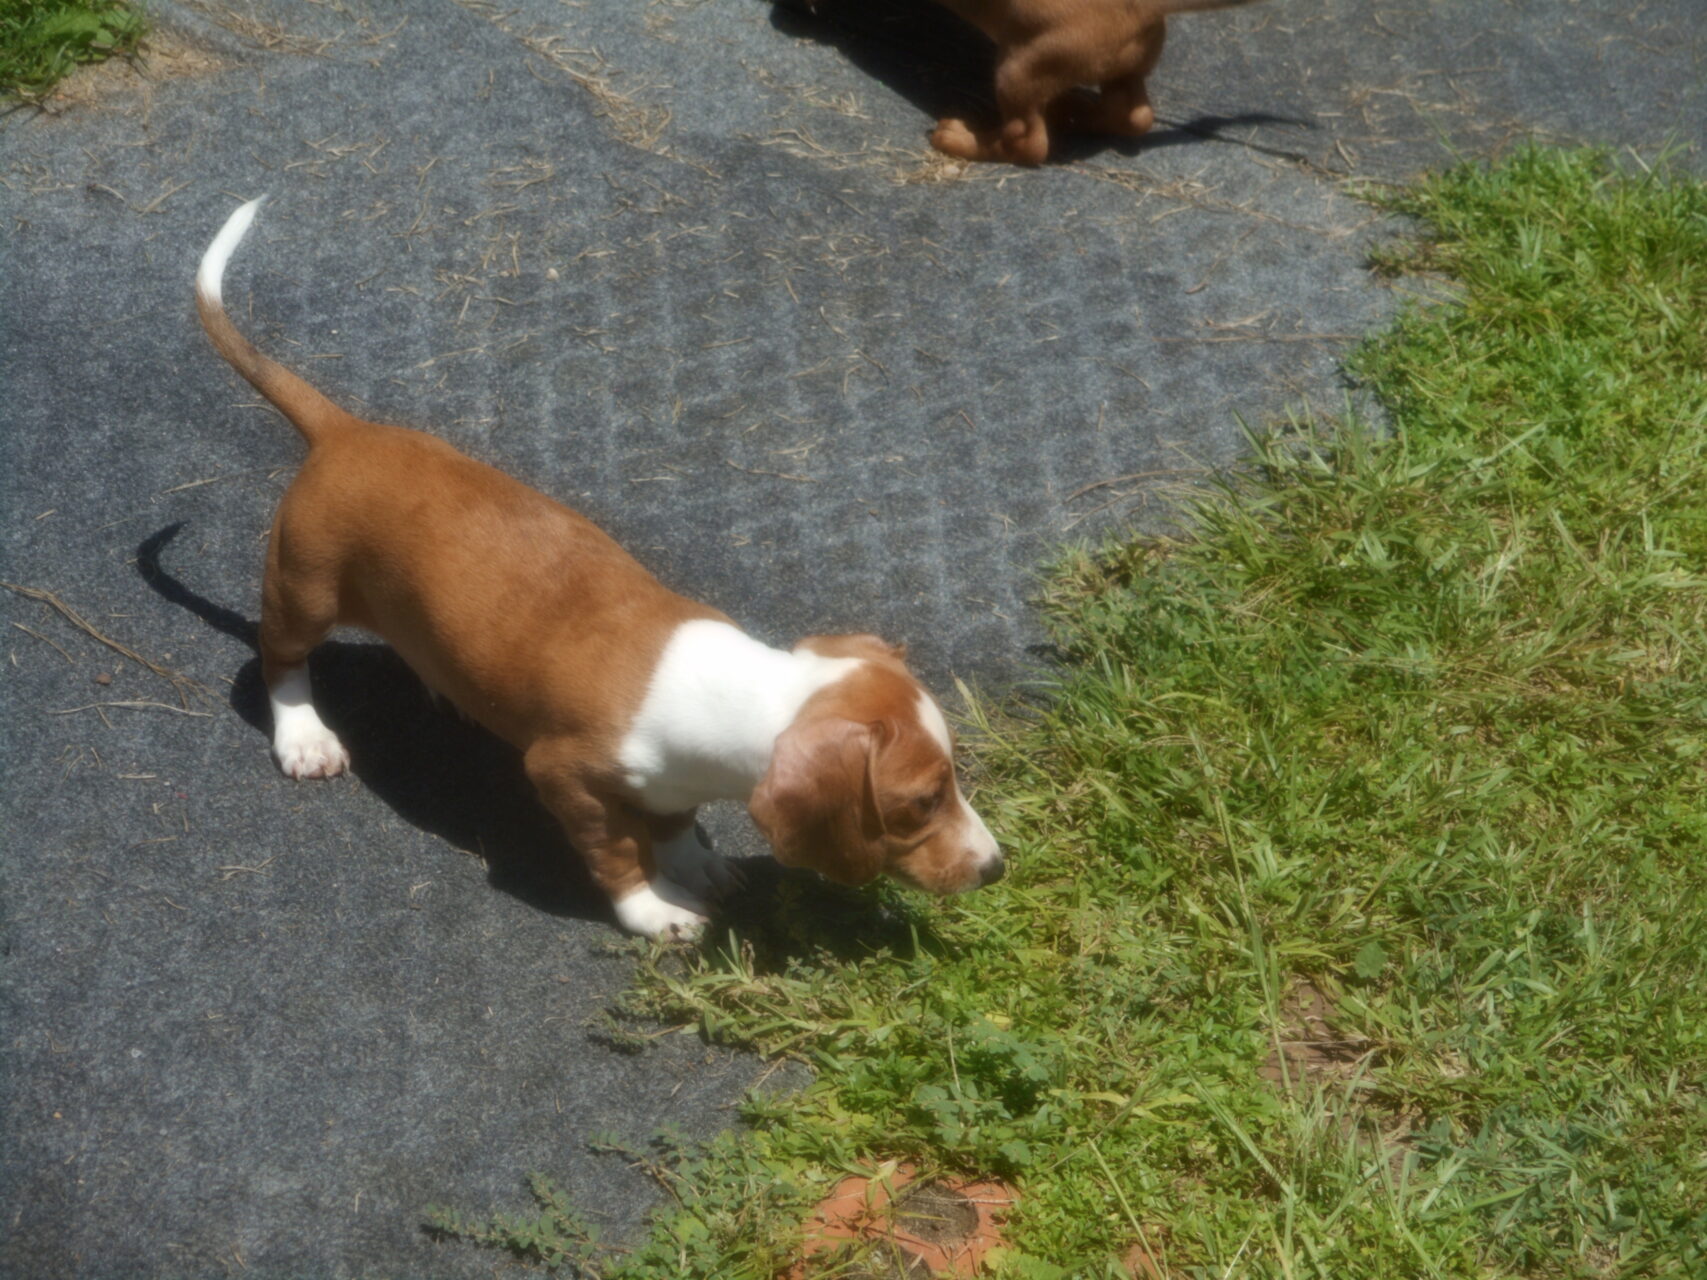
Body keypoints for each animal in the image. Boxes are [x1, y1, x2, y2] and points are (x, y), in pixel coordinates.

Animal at [194, 198, 1003, 938]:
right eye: (921, 803)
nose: (996, 868)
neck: (740, 684)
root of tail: (344, 432)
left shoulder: (674, 779)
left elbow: (672, 823)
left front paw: (695, 864)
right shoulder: (565, 778)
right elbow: (616, 852)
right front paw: (652, 908)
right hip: (304, 587)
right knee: (280, 660)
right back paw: (304, 736)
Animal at [900, 0, 1265, 165]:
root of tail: (1143, 7)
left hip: (1018, 69)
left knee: (1027, 143)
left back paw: (959, 139)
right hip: (1125, 65)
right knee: (1134, 116)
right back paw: (1071, 110)